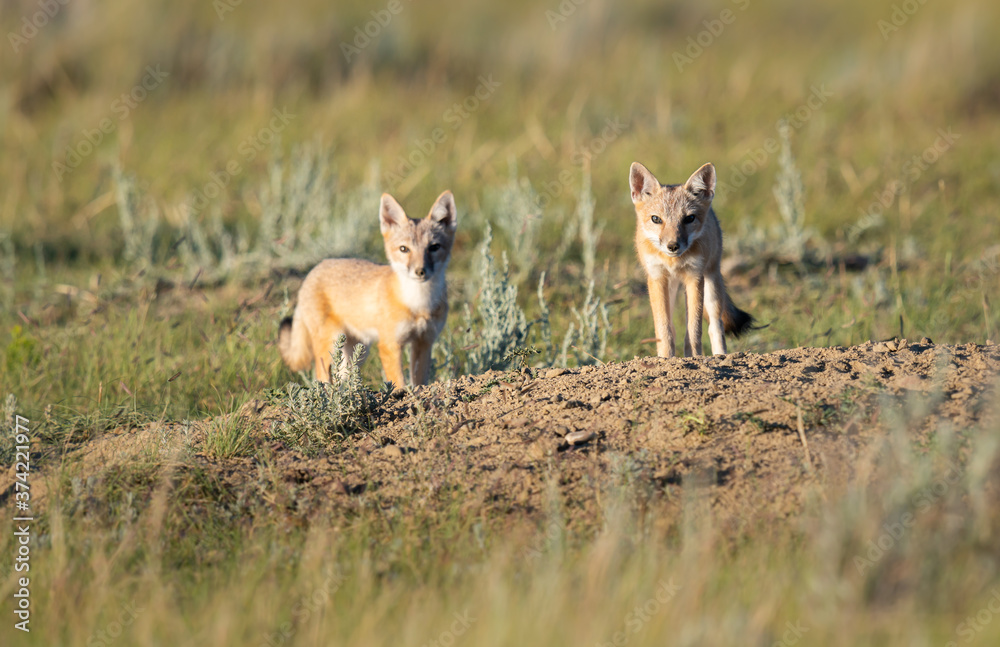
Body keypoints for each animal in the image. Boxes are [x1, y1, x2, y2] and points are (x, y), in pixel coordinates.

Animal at [278, 190, 457, 387]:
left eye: (434, 247)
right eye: (404, 249)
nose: (420, 271)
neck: (419, 305)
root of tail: (315, 268)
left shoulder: (424, 342)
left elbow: (419, 383)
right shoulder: (390, 345)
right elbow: (399, 383)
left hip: (358, 351)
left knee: (343, 380)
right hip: (331, 344)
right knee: (322, 378)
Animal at [629, 161, 755, 358]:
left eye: (689, 218)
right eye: (656, 219)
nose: (673, 246)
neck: (674, 262)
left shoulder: (694, 277)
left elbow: (694, 329)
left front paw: (695, 357)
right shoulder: (657, 278)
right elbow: (664, 329)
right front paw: (666, 358)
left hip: (712, 287)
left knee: (715, 326)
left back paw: (720, 356)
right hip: (671, 288)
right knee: (672, 327)